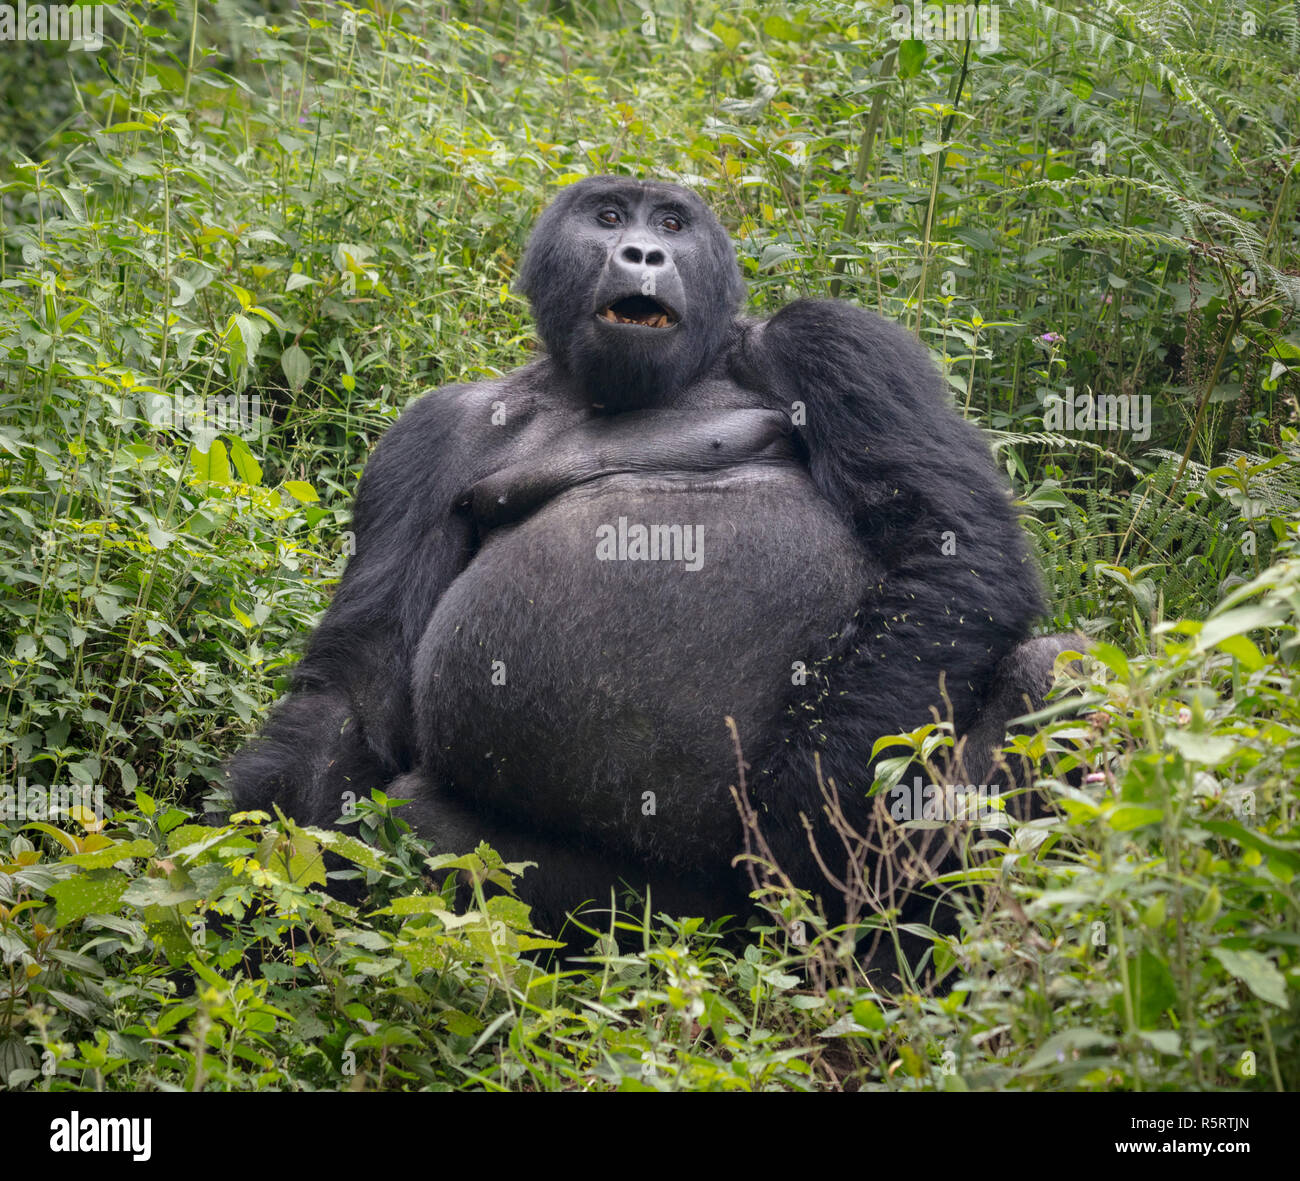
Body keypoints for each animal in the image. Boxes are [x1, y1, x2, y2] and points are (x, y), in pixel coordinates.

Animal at [226, 170, 1076, 936]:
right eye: (607, 217)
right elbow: (357, 691)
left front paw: (805, 813)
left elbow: (953, 545)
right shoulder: (431, 430)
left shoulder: (834, 339)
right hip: (649, 914)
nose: (641, 253)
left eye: (671, 224)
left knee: (1052, 668)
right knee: (433, 832)